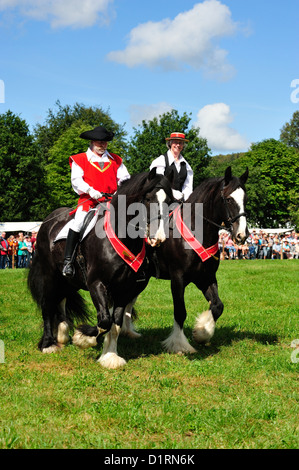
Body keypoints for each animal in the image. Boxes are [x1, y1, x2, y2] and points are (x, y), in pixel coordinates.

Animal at [125, 167, 250, 354]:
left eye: (245, 199)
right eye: (228, 199)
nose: (242, 234)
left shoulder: (206, 278)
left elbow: (217, 306)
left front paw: (201, 333)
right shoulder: (178, 279)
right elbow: (180, 311)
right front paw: (179, 344)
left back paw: (128, 332)